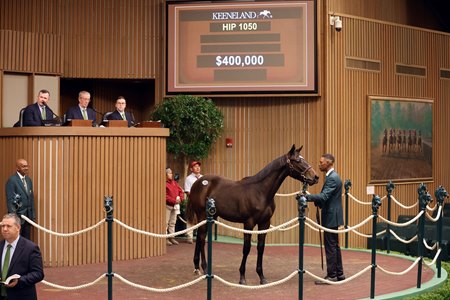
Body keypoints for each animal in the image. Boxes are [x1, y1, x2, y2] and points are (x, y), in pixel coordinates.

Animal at [185, 145, 318, 286]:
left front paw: (262, 277)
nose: (315, 177)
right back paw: (204, 269)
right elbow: (247, 248)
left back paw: (197, 267)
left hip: (210, 217)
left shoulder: (264, 223)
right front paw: (242, 277)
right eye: (298, 161)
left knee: (201, 237)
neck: (261, 191)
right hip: (202, 215)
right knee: (201, 238)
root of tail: (197, 183)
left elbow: (261, 248)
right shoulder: (248, 223)